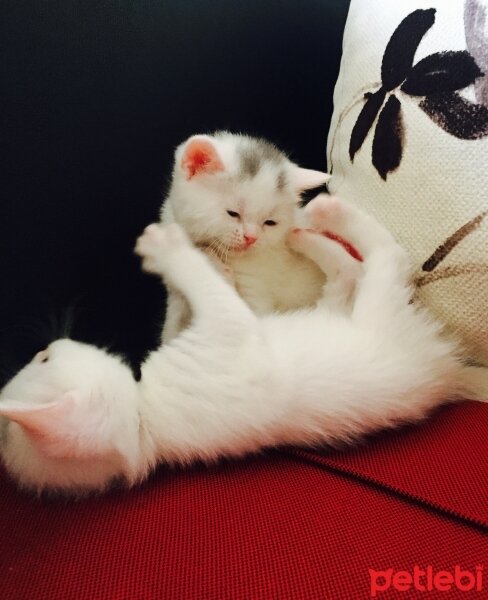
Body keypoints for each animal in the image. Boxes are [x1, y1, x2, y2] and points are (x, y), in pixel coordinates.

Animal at [0, 195, 482, 494]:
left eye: (43, 356)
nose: (50, 341)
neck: (144, 422)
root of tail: (448, 370)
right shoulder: (230, 328)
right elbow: (209, 287)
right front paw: (169, 247)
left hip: (342, 305)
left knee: (352, 272)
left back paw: (308, 229)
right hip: (380, 310)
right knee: (383, 259)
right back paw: (325, 219)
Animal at [160, 131, 332, 342]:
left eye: (270, 222)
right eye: (233, 213)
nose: (251, 237)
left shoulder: (256, 291)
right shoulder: (175, 296)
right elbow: (173, 326)